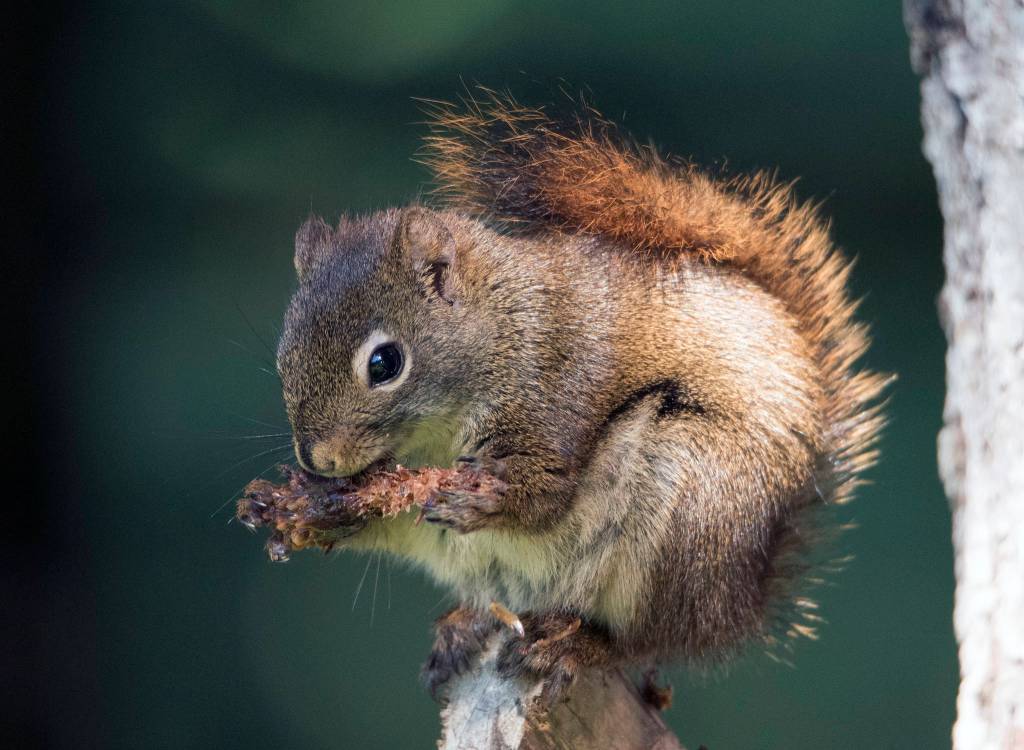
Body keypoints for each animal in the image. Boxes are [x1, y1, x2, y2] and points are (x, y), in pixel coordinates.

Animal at [275, 91, 887, 705]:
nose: (317, 459)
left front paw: (484, 501)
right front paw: (308, 507)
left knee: (646, 641)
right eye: (283, 353)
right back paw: (461, 629)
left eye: (385, 363)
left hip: (688, 506)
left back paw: (575, 646)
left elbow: (545, 493)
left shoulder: (558, 385)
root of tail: (738, 605)